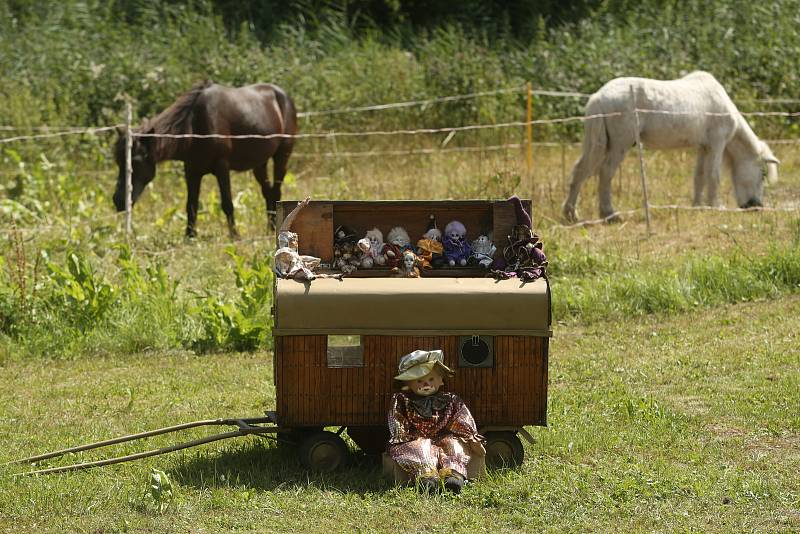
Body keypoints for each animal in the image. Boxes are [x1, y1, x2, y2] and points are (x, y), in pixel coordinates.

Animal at [112, 80, 296, 238]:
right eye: (118, 162)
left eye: (135, 161)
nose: (119, 201)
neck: (195, 126)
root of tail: (283, 95)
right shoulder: (191, 170)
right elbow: (191, 205)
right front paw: (189, 236)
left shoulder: (222, 167)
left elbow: (227, 203)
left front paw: (234, 236)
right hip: (259, 163)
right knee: (267, 191)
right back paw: (270, 228)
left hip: (282, 155)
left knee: (276, 190)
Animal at [560, 71, 780, 222]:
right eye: (762, 174)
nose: (755, 206)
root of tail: (598, 96)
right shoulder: (717, 144)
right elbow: (713, 176)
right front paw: (716, 206)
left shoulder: (704, 147)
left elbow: (699, 176)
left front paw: (697, 206)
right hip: (619, 145)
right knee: (605, 173)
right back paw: (610, 214)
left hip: (598, 145)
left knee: (580, 172)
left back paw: (571, 214)